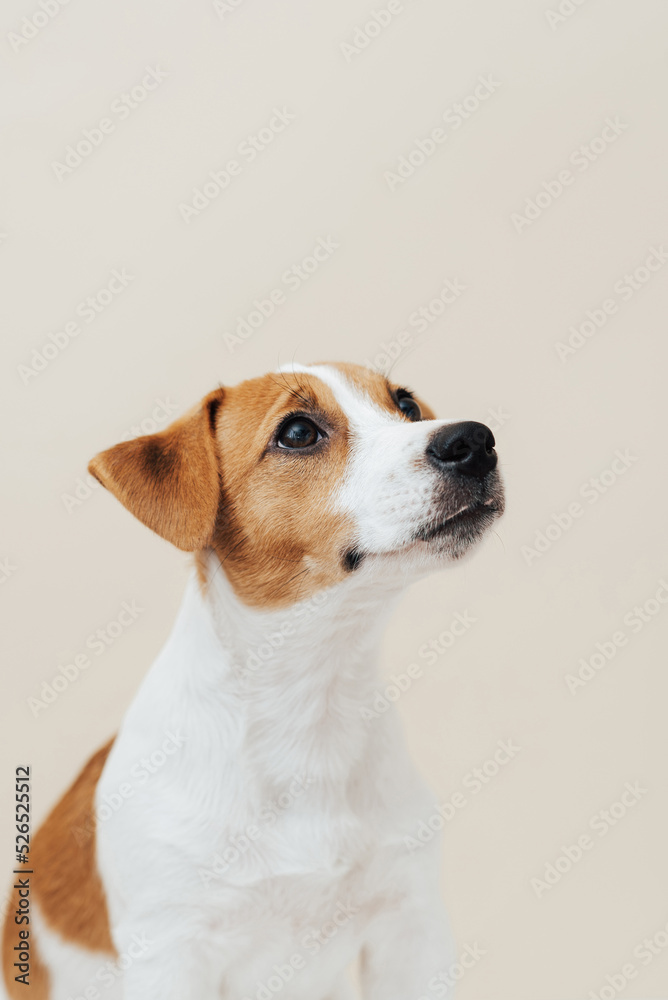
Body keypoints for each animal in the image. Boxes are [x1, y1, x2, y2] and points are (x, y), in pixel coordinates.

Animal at [2, 362, 504, 1000]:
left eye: (407, 406)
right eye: (297, 432)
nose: (474, 441)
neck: (310, 703)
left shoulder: (411, 926)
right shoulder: (172, 952)